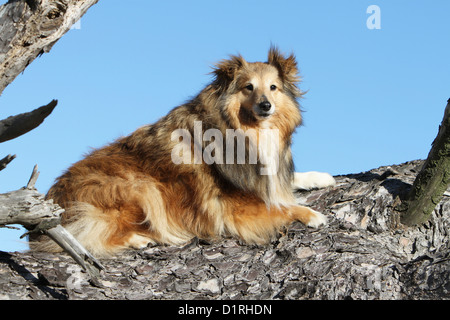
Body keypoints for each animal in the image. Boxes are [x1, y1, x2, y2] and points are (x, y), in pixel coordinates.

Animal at [30, 47, 334, 258]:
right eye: (249, 87)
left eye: (274, 87)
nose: (266, 105)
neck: (246, 130)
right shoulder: (233, 210)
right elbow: (282, 207)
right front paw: (311, 214)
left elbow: (287, 180)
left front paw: (320, 177)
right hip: (141, 186)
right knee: (90, 237)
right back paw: (140, 238)